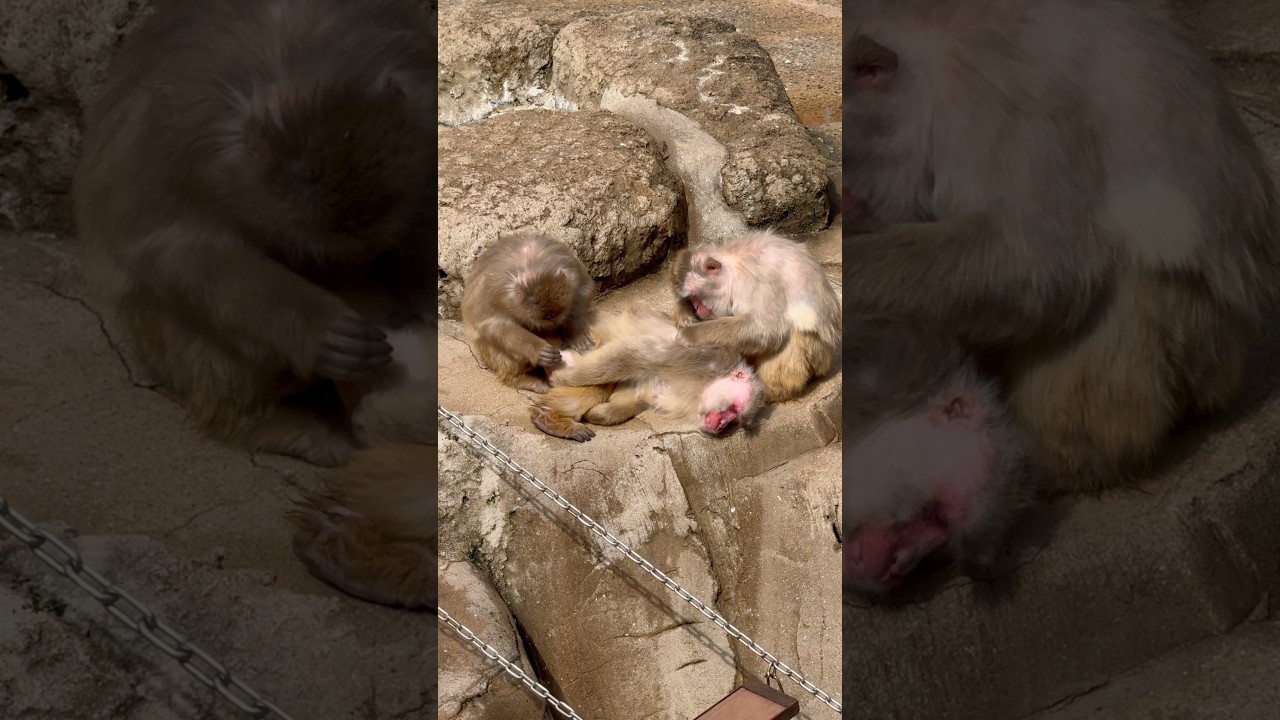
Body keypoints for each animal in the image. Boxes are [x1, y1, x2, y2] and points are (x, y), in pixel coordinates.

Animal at [72, 0, 436, 468]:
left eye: (371, 255)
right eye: (315, 259)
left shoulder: (424, 117)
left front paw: (423, 304)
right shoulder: (180, 152)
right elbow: (174, 253)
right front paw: (323, 332)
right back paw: (269, 425)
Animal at [461, 233, 596, 394]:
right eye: (540, 327)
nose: (555, 341)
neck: (532, 268)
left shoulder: (572, 270)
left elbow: (583, 292)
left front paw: (576, 337)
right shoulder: (494, 292)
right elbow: (493, 325)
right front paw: (539, 350)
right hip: (489, 358)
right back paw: (523, 380)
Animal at [529, 308, 766, 441]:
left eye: (734, 420)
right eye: (733, 410)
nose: (722, 425)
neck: (706, 384)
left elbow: (634, 396)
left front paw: (600, 413)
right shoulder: (699, 360)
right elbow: (634, 354)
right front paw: (565, 379)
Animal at [671, 229, 842, 403]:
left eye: (696, 296)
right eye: (691, 298)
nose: (696, 307)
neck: (732, 264)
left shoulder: (753, 278)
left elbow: (766, 328)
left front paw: (689, 334)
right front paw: (684, 313)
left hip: (816, 353)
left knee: (793, 333)